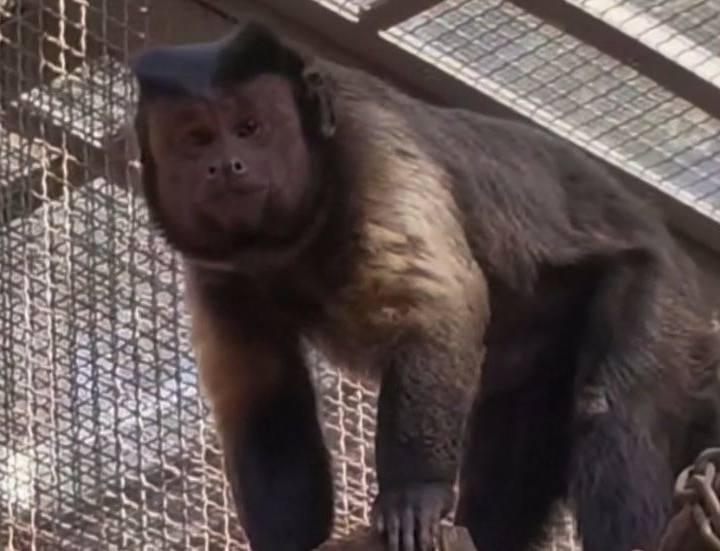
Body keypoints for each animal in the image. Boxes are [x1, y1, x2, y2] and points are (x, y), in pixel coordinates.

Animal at [129, 20, 720, 551]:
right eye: (196, 139)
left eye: (249, 128)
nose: (224, 165)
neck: (293, 245)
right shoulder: (218, 272)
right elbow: (262, 393)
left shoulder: (371, 145)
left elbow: (435, 308)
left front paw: (413, 494)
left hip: (662, 288)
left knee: (610, 407)